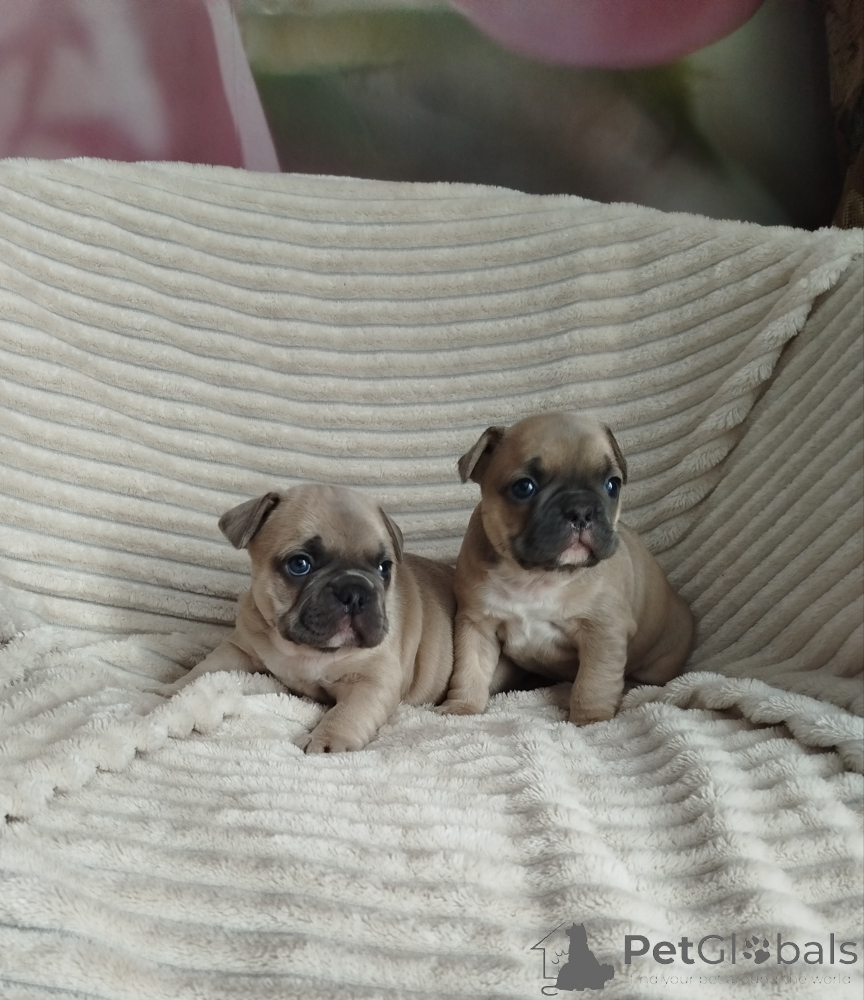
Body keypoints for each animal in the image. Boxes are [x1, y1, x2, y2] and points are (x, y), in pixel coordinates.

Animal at [170, 484, 456, 752]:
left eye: (384, 568)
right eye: (300, 564)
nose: (355, 591)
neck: (305, 649)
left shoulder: (372, 680)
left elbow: (349, 712)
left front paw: (328, 740)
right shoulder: (238, 648)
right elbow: (205, 669)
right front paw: (175, 690)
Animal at [439, 412, 694, 725]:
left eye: (612, 485)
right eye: (524, 487)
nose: (581, 509)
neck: (535, 575)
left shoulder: (603, 631)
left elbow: (594, 681)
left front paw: (592, 720)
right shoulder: (477, 624)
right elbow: (469, 670)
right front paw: (462, 708)